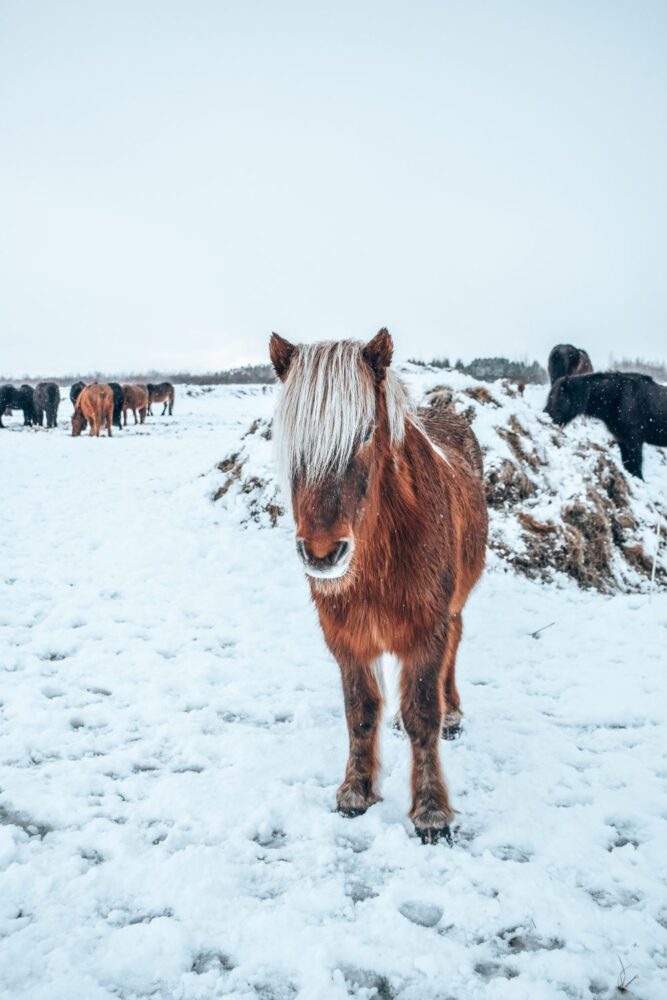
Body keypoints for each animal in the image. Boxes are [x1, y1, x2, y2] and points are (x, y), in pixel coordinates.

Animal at [270, 330, 486, 844]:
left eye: (367, 433)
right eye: (291, 438)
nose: (323, 553)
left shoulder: (427, 630)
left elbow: (422, 714)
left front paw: (431, 810)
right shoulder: (347, 638)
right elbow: (361, 710)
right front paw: (356, 789)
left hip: (453, 609)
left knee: (454, 648)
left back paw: (454, 713)